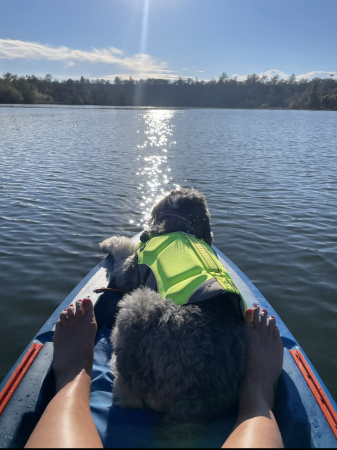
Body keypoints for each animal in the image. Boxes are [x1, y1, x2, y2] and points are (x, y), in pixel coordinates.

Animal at [100, 187, 247, 426]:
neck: (178, 224)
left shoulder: (128, 271)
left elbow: (123, 250)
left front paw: (109, 243)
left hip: (137, 304)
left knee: (128, 393)